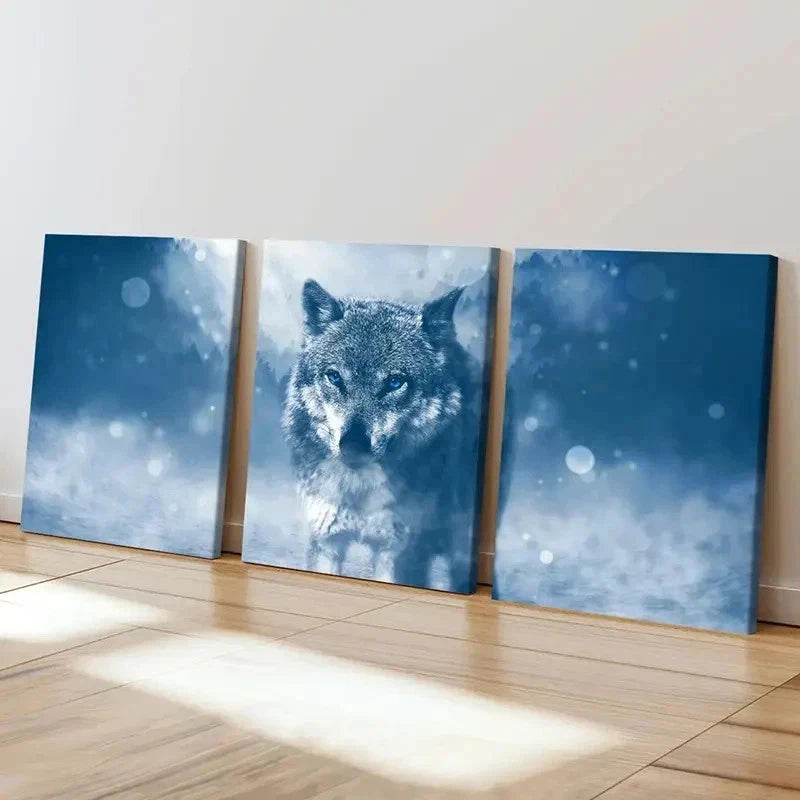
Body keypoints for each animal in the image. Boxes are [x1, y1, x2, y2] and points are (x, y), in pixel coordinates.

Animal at [282, 278, 486, 592]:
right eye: (335, 377)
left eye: (394, 382)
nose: (353, 445)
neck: (358, 489)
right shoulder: (327, 541)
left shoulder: (397, 551)